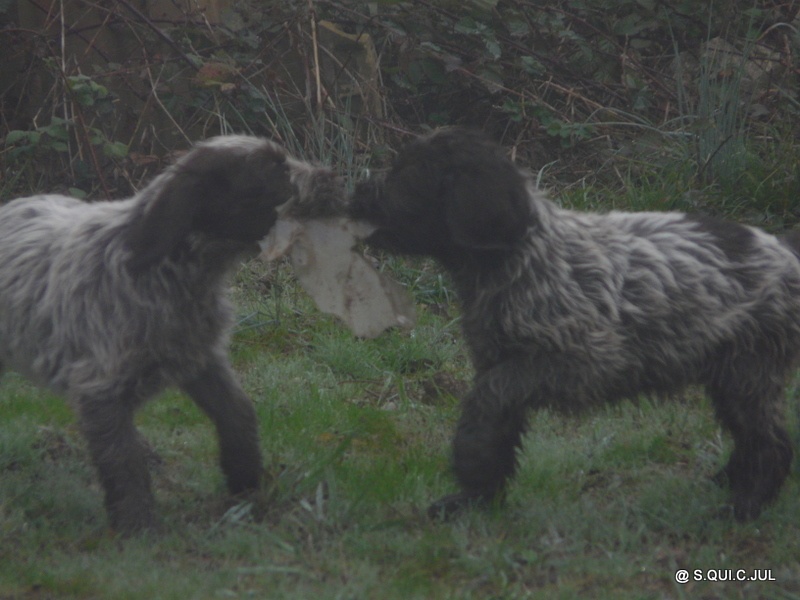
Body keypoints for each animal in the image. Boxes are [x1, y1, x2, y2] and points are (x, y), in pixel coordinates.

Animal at [0, 137, 340, 536]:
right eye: (275, 169)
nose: (333, 178)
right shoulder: (101, 391)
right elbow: (125, 463)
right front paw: (138, 531)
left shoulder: (199, 359)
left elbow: (238, 416)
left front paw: (247, 489)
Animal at [350, 127, 800, 520]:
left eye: (409, 176)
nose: (354, 193)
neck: (521, 257)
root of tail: (786, 254)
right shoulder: (501, 361)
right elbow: (491, 426)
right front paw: (476, 498)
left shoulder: (582, 363)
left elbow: (489, 401)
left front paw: (473, 478)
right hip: (730, 373)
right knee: (750, 437)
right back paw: (728, 481)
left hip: (749, 370)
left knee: (770, 442)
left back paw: (746, 505)